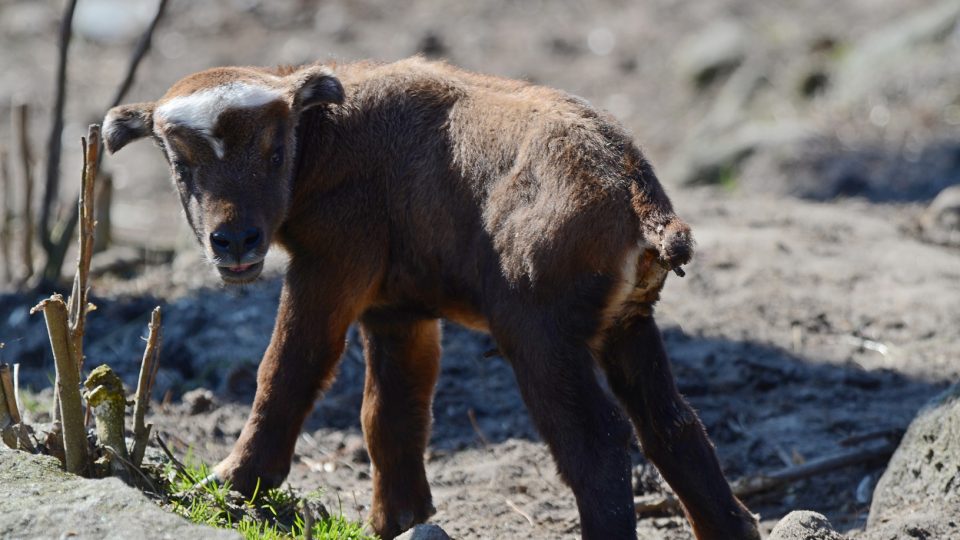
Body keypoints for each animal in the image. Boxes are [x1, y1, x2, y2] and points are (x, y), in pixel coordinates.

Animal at [105, 57, 760, 536]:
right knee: (673, 425)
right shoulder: (395, 311)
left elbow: (287, 371)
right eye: (181, 166)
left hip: (541, 335)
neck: (331, 137)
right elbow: (390, 414)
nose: (234, 239)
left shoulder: (331, 264)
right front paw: (398, 521)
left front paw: (231, 484)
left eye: (275, 150)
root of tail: (637, 192)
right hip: (627, 327)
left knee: (596, 442)